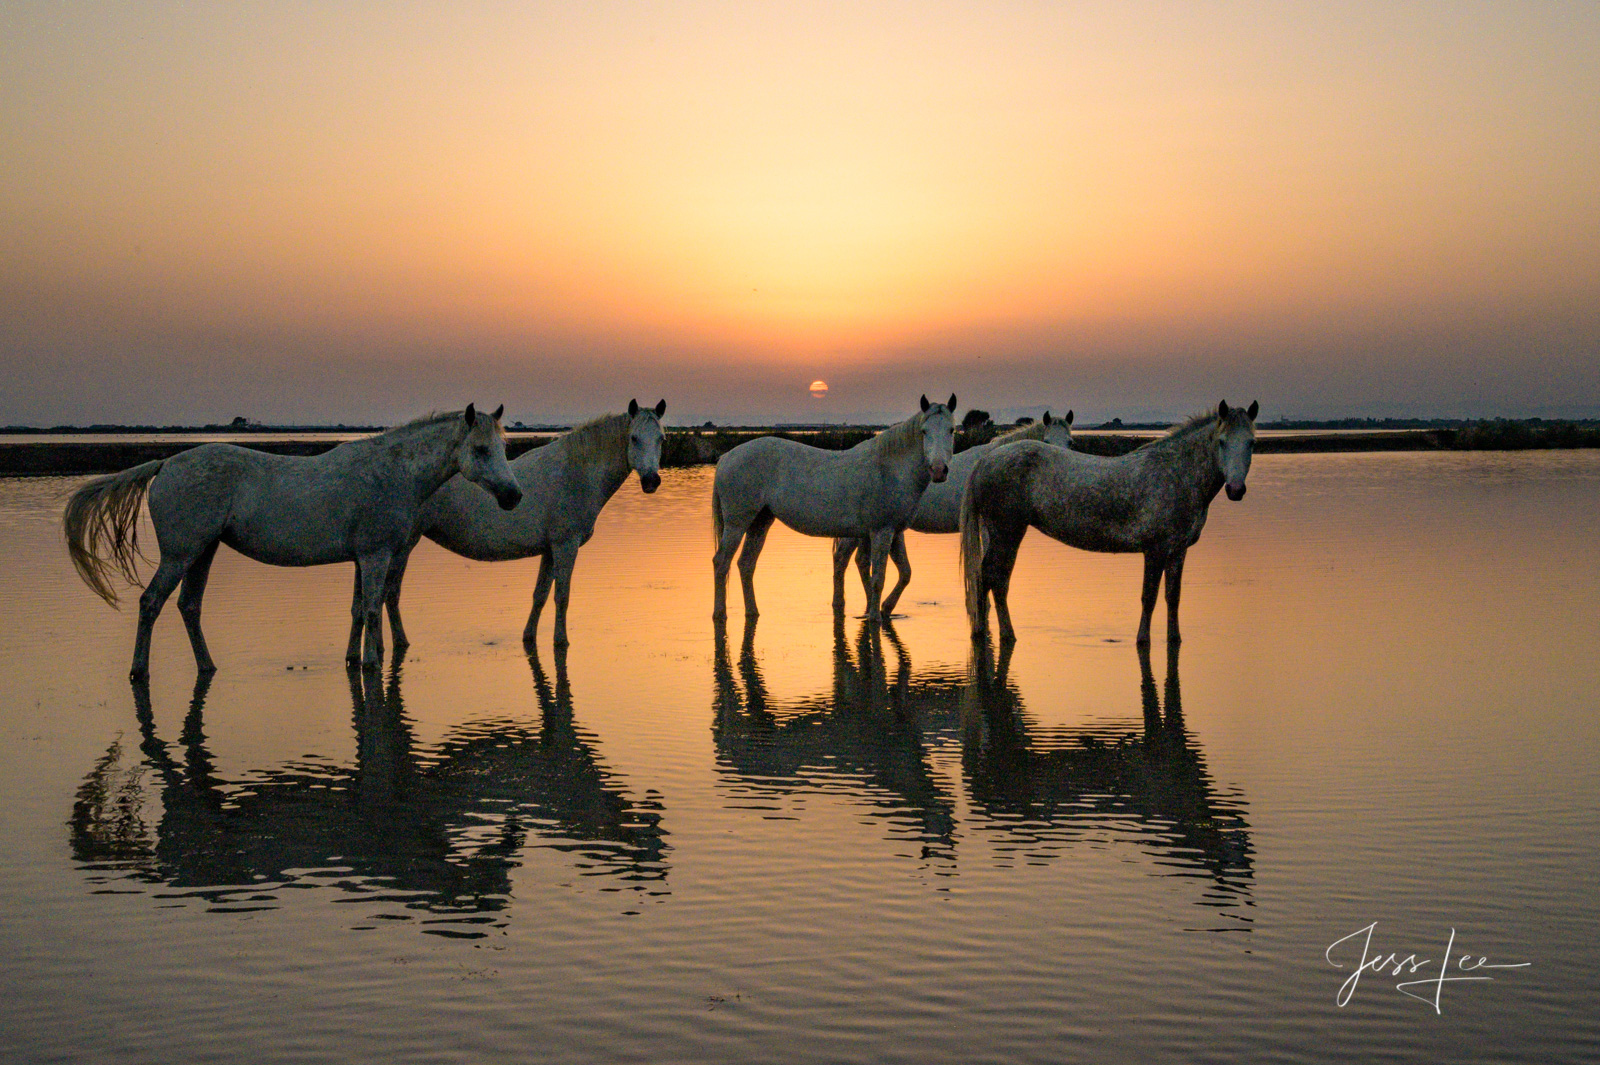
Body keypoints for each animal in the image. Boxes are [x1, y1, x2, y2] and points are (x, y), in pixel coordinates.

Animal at [67, 402, 518, 674]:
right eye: (480, 449)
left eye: (503, 445)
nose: (513, 496)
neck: (392, 472)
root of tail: (165, 464)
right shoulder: (377, 555)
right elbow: (373, 610)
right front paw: (372, 663)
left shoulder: (361, 558)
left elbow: (357, 610)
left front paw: (353, 660)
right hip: (180, 554)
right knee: (151, 603)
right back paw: (139, 671)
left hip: (203, 553)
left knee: (189, 607)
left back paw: (208, 667)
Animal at [377, 398, 665, 646]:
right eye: (634, 438)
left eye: (661, 439)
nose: (651, 481)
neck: (577, 472)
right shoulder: (566, 545)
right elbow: (562, 597)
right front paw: (561, 641)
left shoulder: (550, 550)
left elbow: (540, 596)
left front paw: (529, 636)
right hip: (403, 547)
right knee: (388, 594)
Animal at [710, 393, 953, 617]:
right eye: (924, 431)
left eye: (951, 430)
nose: (939, 470)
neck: (890, 468)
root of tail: (726, 457)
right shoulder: (881, 532)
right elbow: (878, 579)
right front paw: (875, 618)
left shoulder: (895, 532)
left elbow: (905, 573)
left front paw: (885, 608)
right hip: (737, 523)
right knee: (721, 562)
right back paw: (719, 614)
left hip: (760, 522)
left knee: (746, 564)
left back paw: (752, 612)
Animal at [953, 399, 1254, 639]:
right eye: (1222, 442)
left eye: (1251, 443)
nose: (1236, 490)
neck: (1176, 473)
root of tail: (986, 460)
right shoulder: (1155, 551)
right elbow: (1149, 598)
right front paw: (1142, 641)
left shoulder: (1178, 551)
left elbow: (1173, 598)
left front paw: (1175, 640)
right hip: (1007, 533)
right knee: (993, 578)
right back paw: (999, 634)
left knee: (992, 579)